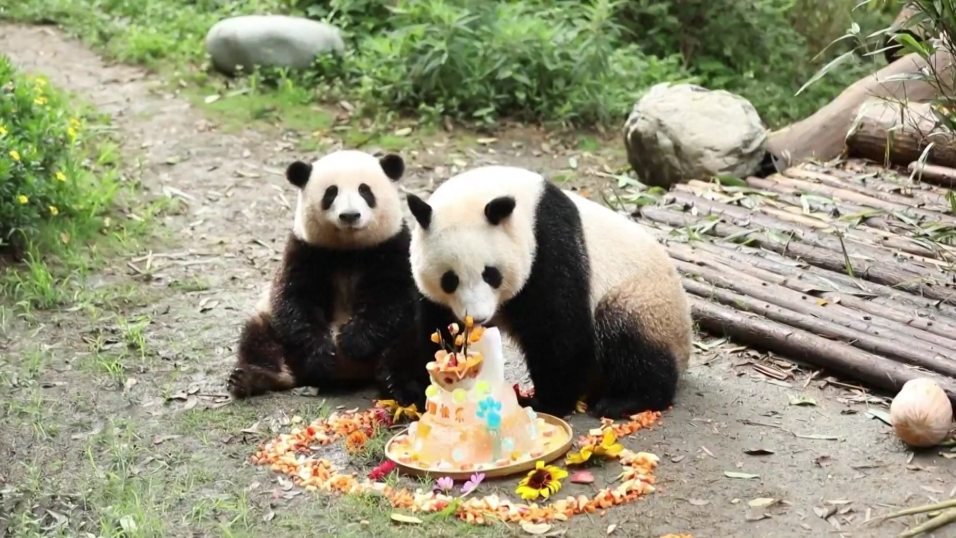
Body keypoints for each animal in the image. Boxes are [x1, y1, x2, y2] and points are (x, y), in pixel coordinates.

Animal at [227, 149, 421, 402]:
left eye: (364, 190)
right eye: (331, 192)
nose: (350, 216)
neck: (349, 249)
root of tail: (349, 372)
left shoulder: (392, 246)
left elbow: (393, 297)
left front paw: (353, 341)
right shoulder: (305, 249)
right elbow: (295, 299)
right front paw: (322, 352)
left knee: (411, 341)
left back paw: (397, 385)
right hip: (274, 329)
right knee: (258, 335)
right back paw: (256, 377)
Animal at [404, 165, 693, 419]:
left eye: (491, 274)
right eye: (450, 280)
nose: (477, 317)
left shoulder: (549, 247)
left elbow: (559, 330)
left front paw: (546, 402)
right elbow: (436, 327)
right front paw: (428, 388)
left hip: (645, 301)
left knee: (627, 336)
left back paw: (627, 400)